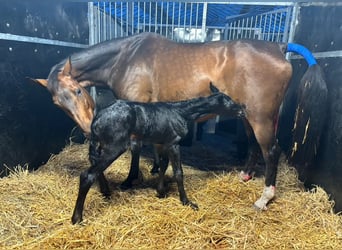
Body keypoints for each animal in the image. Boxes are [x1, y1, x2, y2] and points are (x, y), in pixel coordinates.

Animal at [71, 84, 244, 225]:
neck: (183, 113)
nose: (242, 110)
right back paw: (77, 218)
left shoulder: (163, 142)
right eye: (229, 101)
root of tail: (96, 120)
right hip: (115, 146)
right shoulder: (174, 142)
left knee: (94, 166)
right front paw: (187, 202)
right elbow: (178, 172)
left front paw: (160, 191)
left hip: (101, 145)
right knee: (88, 174)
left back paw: (106, 192)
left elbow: (162, 165)